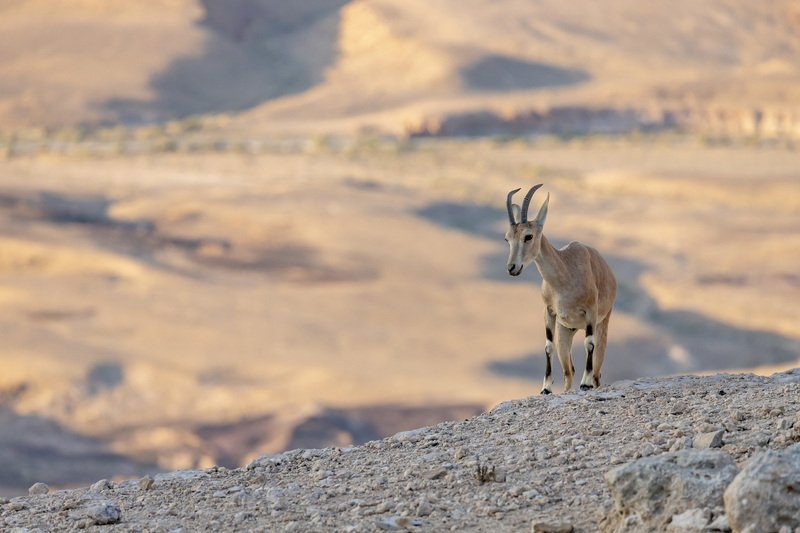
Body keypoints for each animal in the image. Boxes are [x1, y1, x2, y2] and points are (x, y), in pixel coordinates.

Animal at [505, 184, 617, 394]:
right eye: (507, 239)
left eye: (528, 236)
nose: (512, 268)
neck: (566, 275)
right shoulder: (549, 311)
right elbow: (548, 347)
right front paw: (546, 388)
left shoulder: (591, 312)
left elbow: (589, 344)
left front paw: (584, 383)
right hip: (566, 332)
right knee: (568, 370)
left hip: (602, 324)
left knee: (597, 370)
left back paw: (590, 382)